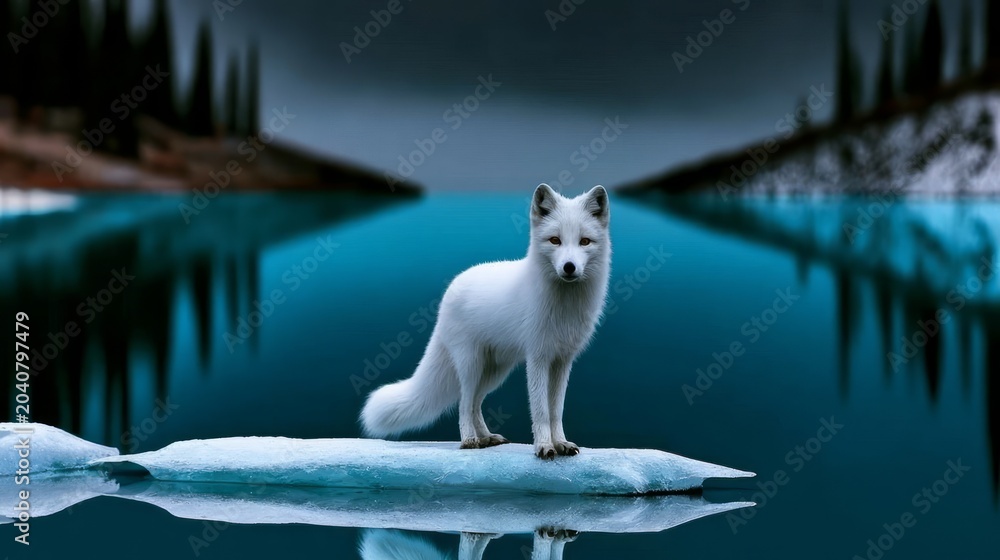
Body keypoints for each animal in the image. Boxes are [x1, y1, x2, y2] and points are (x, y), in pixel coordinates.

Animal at [360, 184, 611, 459]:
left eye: (584, 241)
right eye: (555, 240)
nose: (569, 267)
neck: (565, 306)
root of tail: (450, 292)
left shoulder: (562, 360)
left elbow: (556, 410)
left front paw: (561, 443)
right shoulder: (537, 357)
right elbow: (540, 410)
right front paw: (544, 446)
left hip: (494, 371)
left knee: (475, 404)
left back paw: (486, 437)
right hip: (471, 364)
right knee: (463, 403)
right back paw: (470, 439)